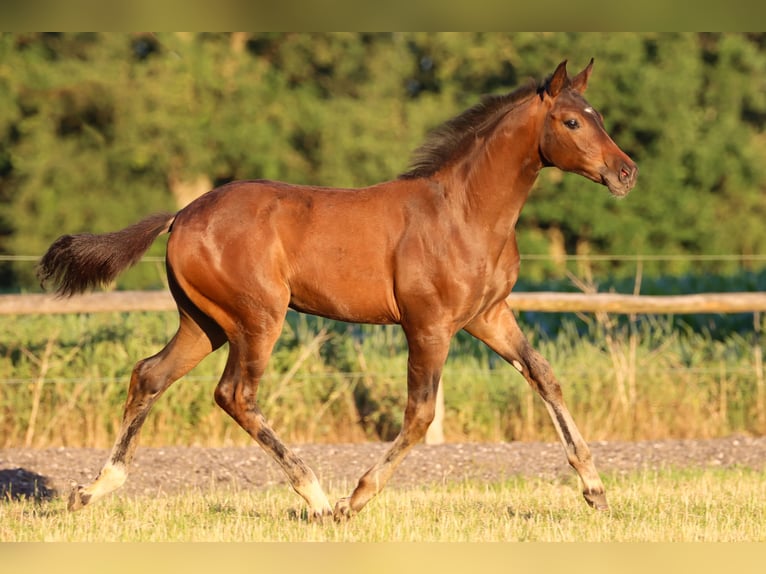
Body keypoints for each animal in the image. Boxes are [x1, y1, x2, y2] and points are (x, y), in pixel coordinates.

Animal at [38, 59, 637, 520]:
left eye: (600, 117)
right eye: (571, 121)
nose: (626, 173)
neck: (464, 212)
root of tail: (181, 215)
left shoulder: (488, 316)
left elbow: (544, 376)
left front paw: (595, 490)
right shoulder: (429, 325)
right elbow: (419, 414)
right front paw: (357, 498)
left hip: (204, 322)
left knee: (150, 375)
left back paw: (92, 490)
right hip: (257, 319)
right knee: (235, 395)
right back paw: (319, 497)